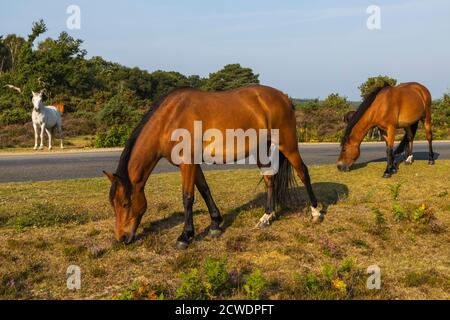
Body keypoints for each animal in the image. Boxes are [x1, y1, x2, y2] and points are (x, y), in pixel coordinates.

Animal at [103, 85, 320, 250]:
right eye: (113, 205)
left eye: (125, 204)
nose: (122, 238)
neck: (170, 119)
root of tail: (284, 97)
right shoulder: (194, 164)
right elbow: (205, 190)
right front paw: (215, 224)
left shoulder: (187, 164)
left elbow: (188, 198)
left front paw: (185, 236)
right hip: (262, 150)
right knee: (270, 180)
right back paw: (266, 217)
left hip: (287, 144)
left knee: (303, 172)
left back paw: (316, 212)